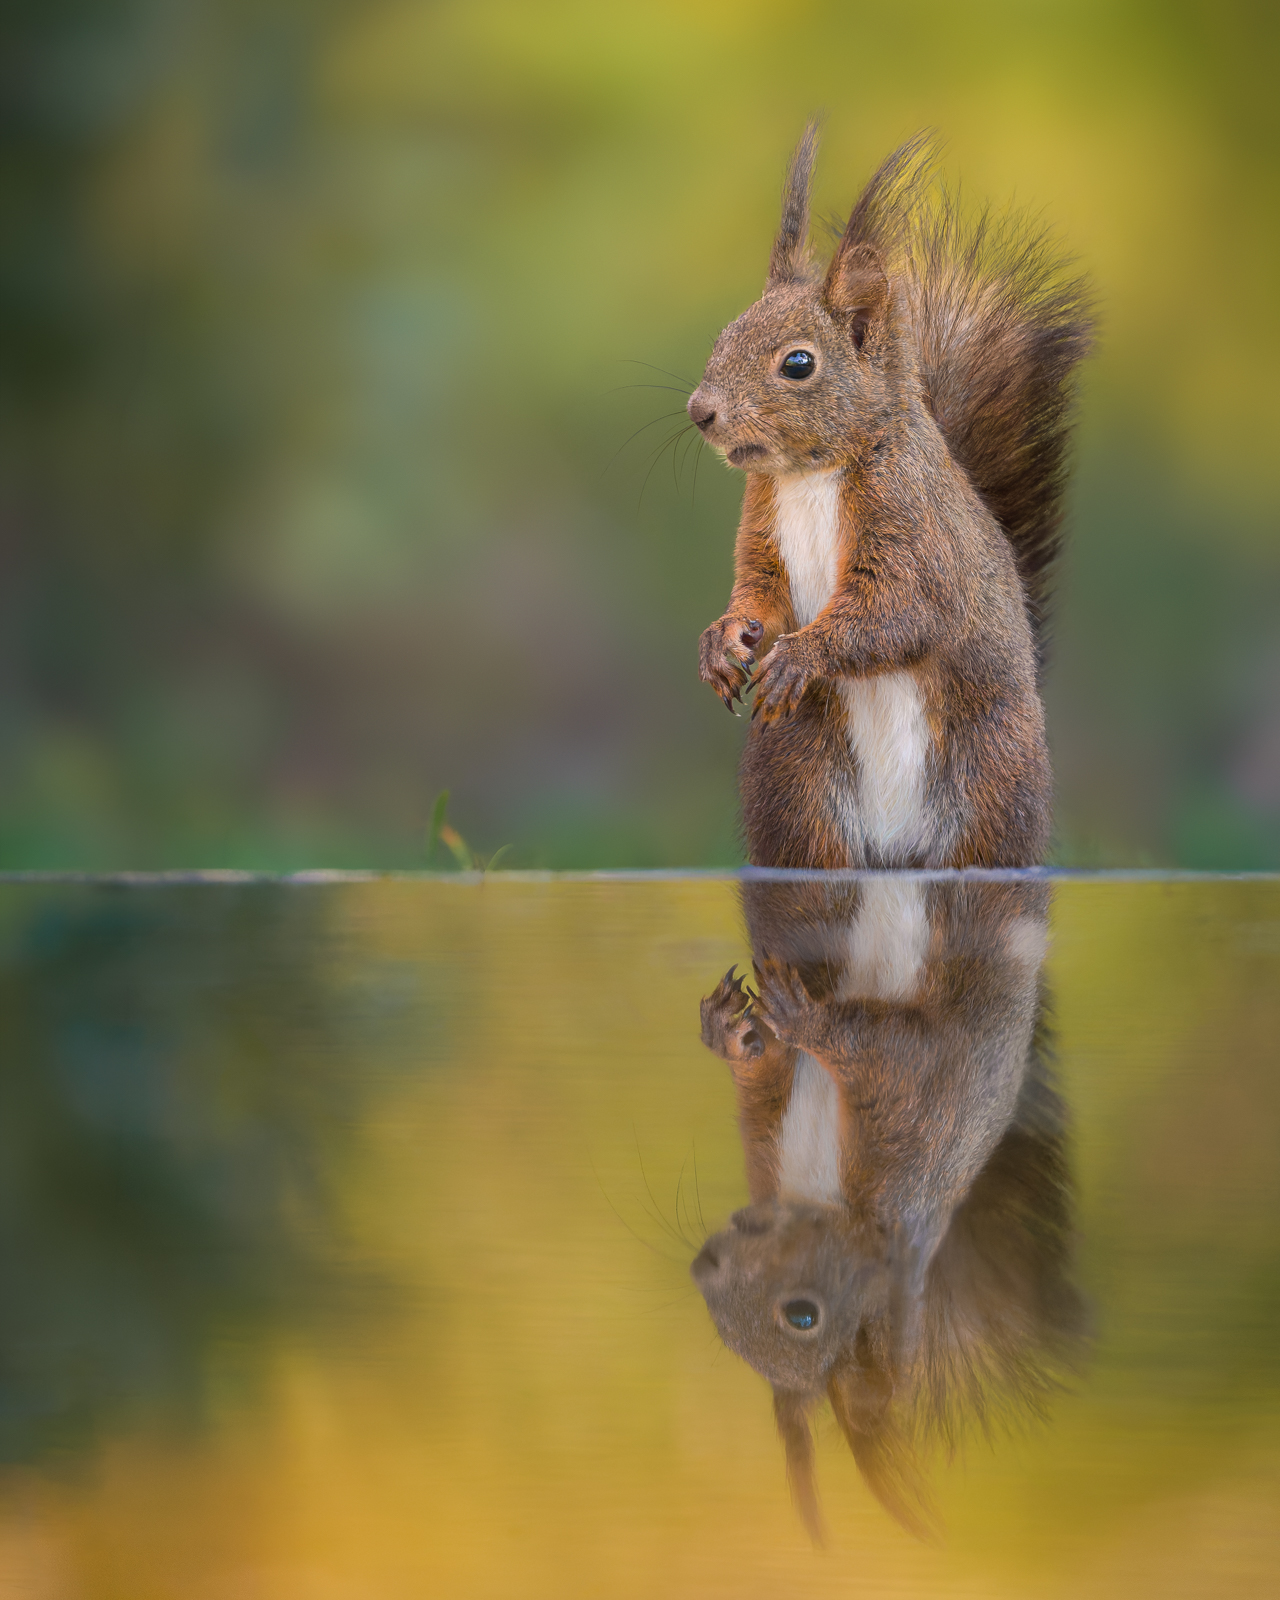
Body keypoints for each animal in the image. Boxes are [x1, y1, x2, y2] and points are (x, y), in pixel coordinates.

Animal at [691, 126, 1093, 868]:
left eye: (798, 363)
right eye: (724, 335)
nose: (700, 412)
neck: (810, 474)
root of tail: (896, 851)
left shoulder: (912, 527)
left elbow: (897, 612)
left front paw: (800, 655)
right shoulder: (763, 528)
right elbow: (759, 592)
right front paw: (724, 639)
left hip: (992, 784)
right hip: (797, 784)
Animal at [693, 876, 1084, 1541]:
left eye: (802, 1316)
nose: (703, 1266)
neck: (820, 1184)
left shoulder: (910, 1110)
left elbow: (884, 1045)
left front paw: (804, 1016)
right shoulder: (772, 1124)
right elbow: (766, 1067)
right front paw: (729, 1031)